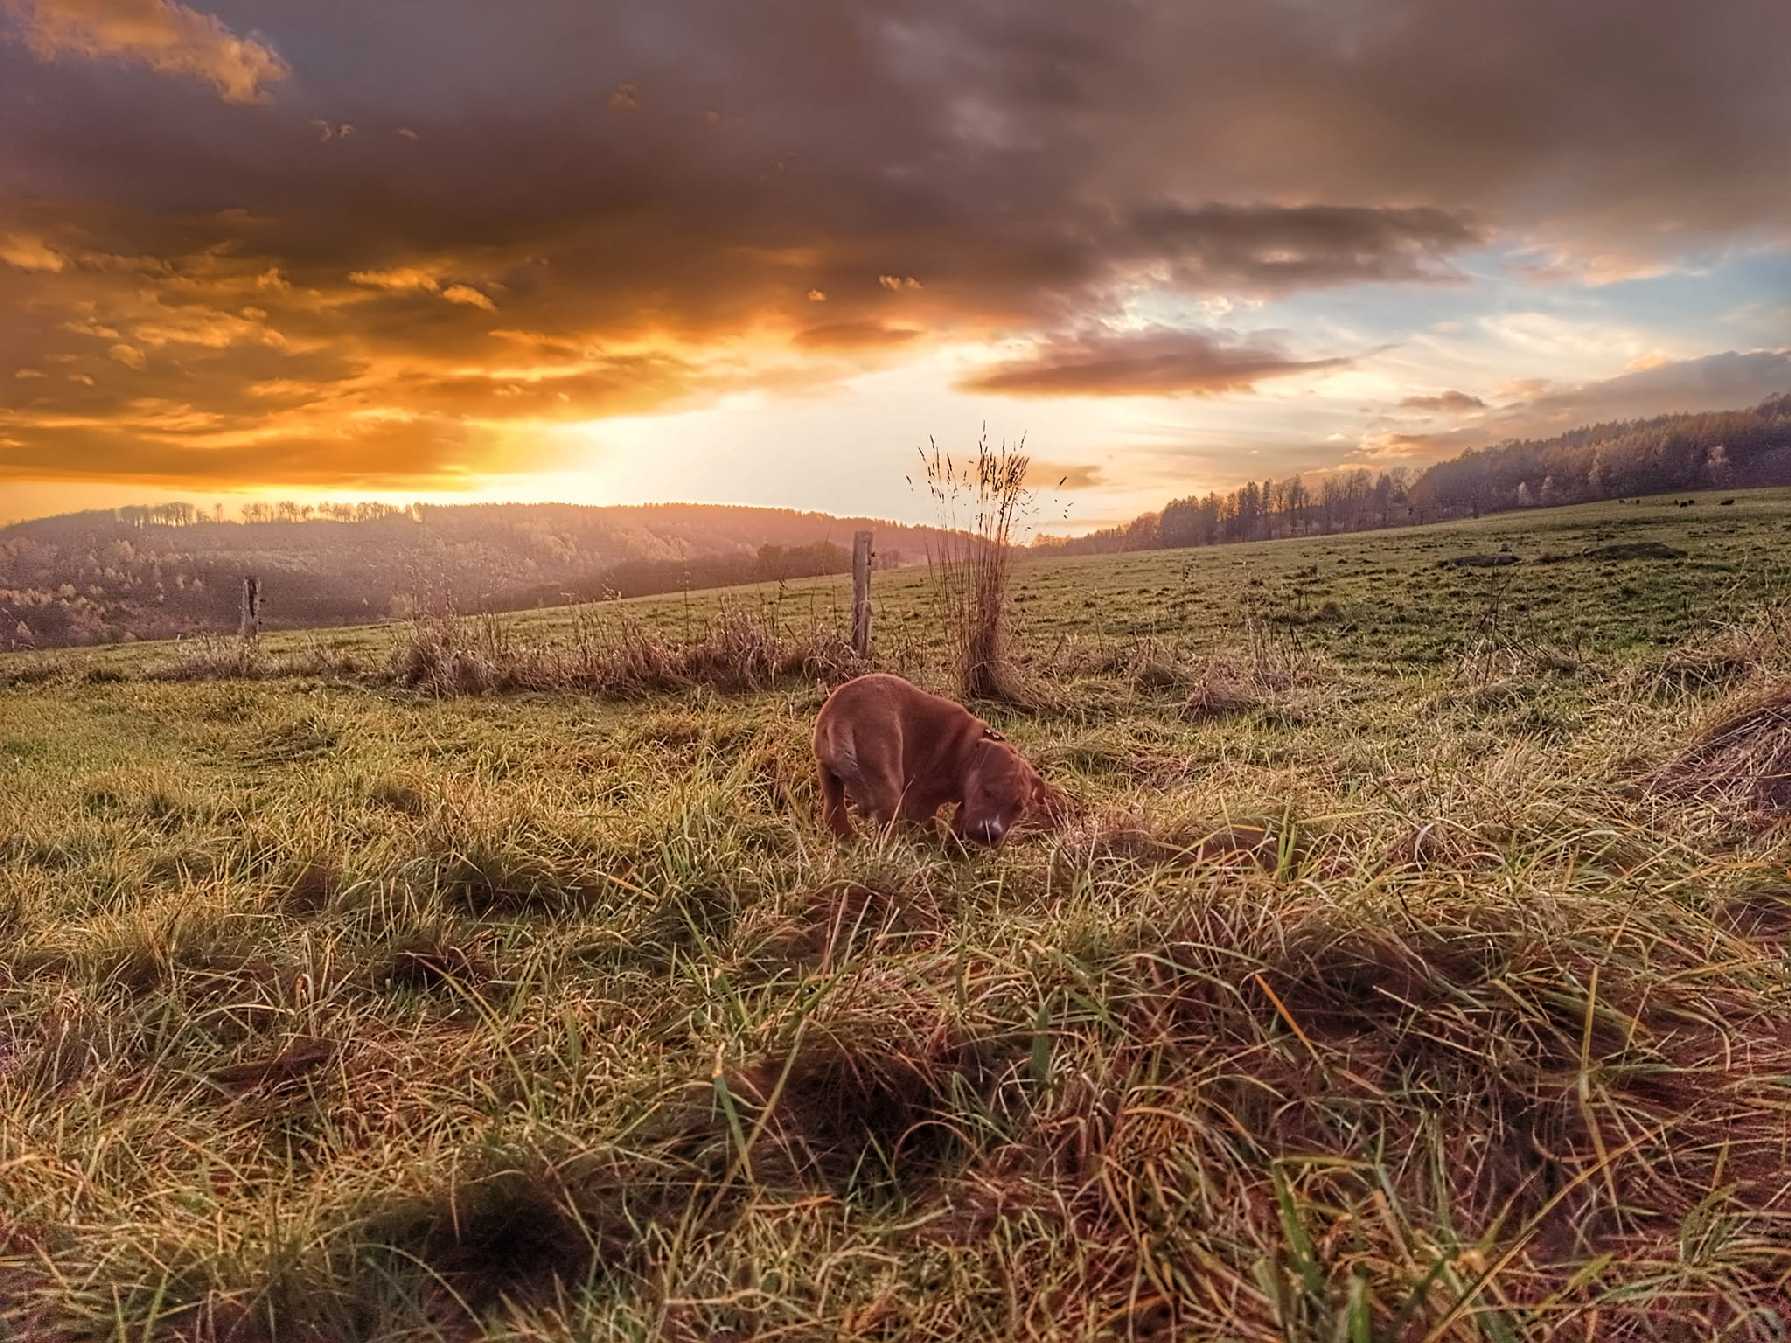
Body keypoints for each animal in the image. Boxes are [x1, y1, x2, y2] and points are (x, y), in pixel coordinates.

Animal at [816, 676, 1053, 845]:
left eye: (1017, 807)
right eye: (987, 792)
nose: (990, 835)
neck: (968, 751)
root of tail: (841, 714)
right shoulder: (920, 800)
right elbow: (929, 825)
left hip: (828, 778)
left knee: (833, 814)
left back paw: (849, 842)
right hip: (887, 786)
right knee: (886, 830)